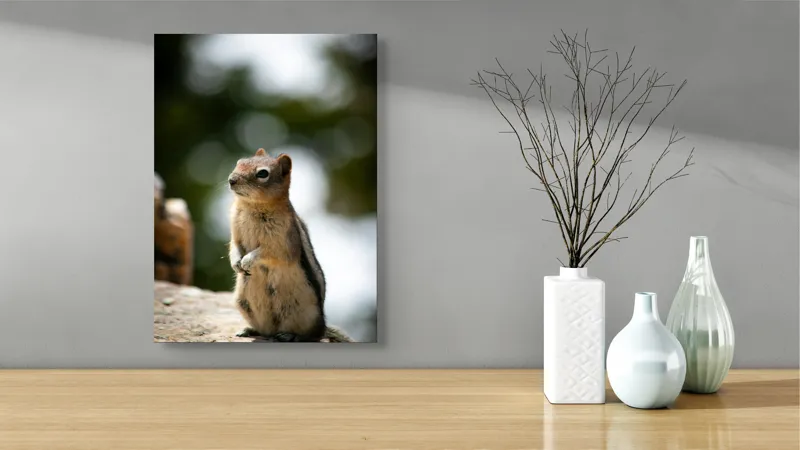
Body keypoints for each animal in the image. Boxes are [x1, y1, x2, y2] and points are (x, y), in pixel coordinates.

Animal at [227, 148, 353, 343]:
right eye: (239, 162)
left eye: (262, 173)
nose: (231, 180)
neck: (252, 206)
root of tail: (322, 327)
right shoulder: (235, 234)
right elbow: (234, 247)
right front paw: (236, 263)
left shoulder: (283, 242)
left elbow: (269, 252)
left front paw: (248, 260)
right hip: (243, 303)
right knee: (265, 331)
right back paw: (249, 330)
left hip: (303, 314)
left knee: (310, 335)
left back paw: (289, 335)